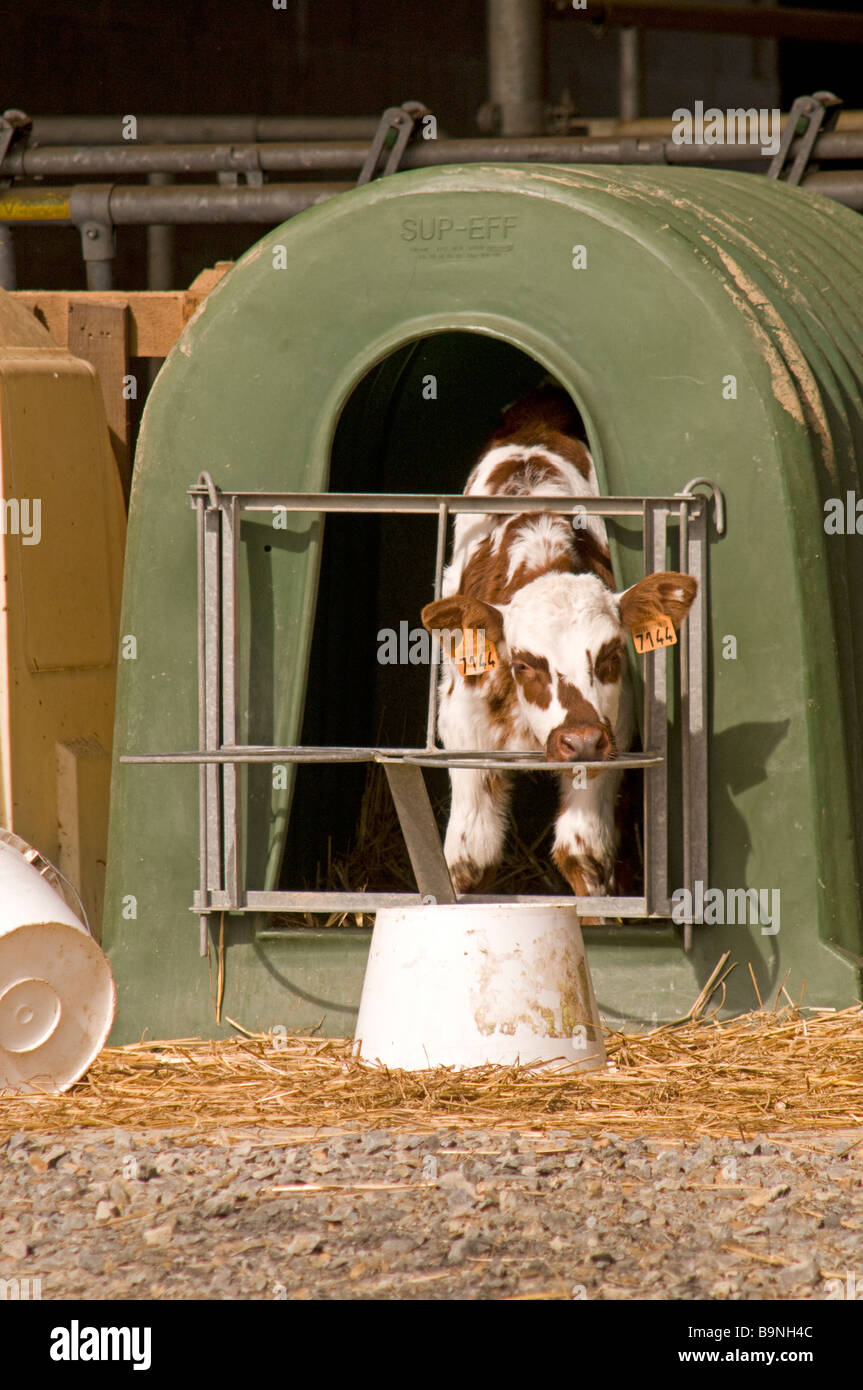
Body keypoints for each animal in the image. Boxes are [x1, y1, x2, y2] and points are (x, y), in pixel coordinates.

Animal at [420, 384, 696, 905]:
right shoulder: (465, 738)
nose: (581, 739)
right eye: (525, 663)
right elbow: (467, 864)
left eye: (611, 654)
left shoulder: (613, 739)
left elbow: (583, 858)